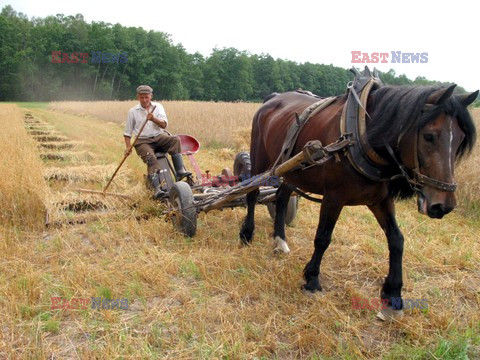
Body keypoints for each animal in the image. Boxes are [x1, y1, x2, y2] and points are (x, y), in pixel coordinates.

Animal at [240, 81, 476, 312]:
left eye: (460, 140)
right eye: (429, 136)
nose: (443, 205)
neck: (360, 138)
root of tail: (273, 98)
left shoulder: (381, 200)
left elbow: (396, 240)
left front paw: (393, 292)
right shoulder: (333, 197)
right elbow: (323, 238)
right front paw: (312, 279)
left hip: (292, 171)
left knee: (281, 199)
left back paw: (280, 240)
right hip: (261, 157)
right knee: (251, 193)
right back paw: (247, 233)